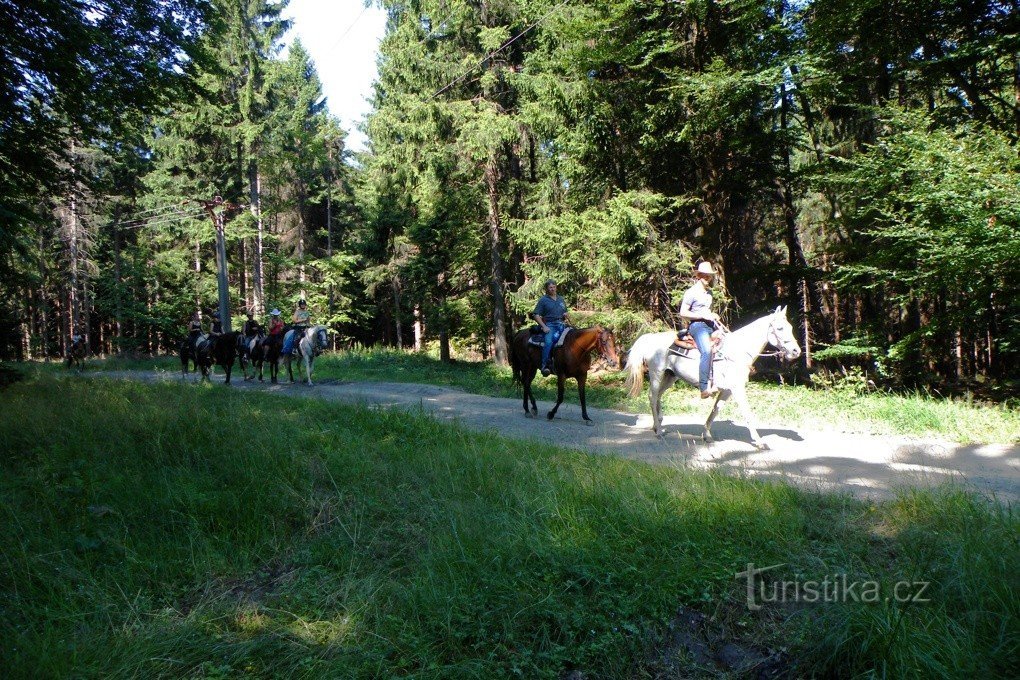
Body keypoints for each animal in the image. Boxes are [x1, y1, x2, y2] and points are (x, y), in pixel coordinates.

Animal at [620, 307, 803, 446]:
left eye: (790, 327)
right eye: (780, 328)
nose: (796, 351)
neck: (738, 350)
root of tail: (649, 338)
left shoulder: (727, 390)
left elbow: (716, 410)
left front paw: (707, 435)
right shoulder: (737, 388)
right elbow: (747, 413)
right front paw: (759, 442)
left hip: (670, 377)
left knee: (658, 397)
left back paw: (658, 426)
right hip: (657, 374)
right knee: (652, 397)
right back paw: (658, 430)